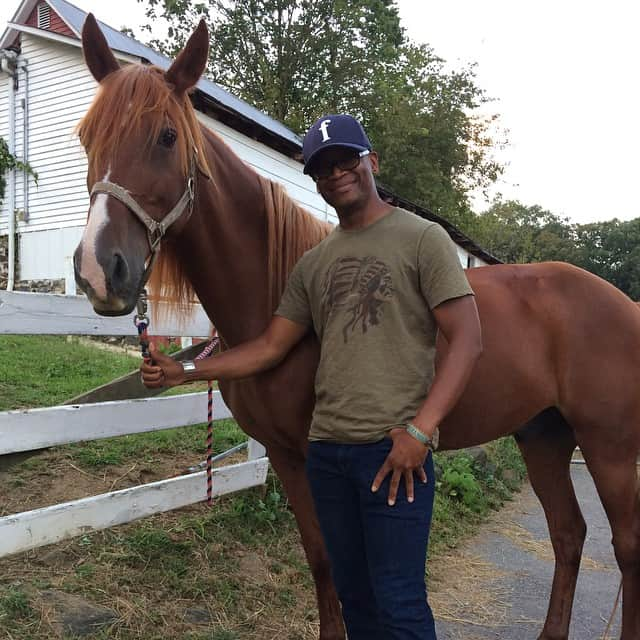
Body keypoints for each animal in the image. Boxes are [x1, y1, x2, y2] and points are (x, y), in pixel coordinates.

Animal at [72, 15, 636, 640]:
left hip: (610, 447)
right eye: (87, 138)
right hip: (543, 435)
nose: (100, 271)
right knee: (569, 533)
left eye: (168, 136)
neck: (269, 298)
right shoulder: (288, 457)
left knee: (625, 548)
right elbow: (323, 560)